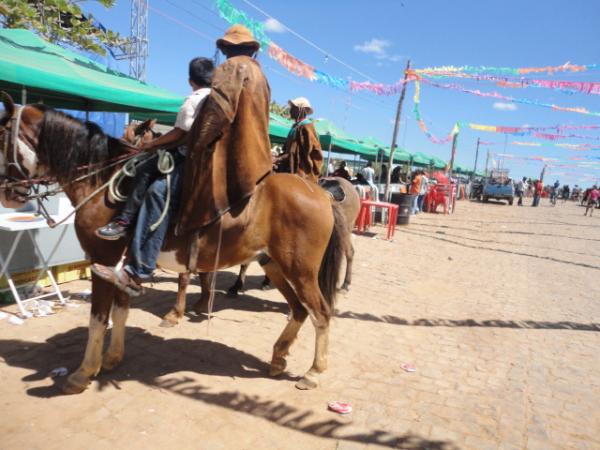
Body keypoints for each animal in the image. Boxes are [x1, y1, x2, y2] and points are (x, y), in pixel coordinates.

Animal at [1, 96, 346, 394]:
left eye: (2, 136)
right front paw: (112, 358)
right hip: (274, 265)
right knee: (299, 310)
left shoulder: (102, 261)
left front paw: (83, 373)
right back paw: (278, 357)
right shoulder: (121, 267)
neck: (104, 183)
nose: (8, 193)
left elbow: (97, 320)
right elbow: (121, 312)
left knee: (321, 312)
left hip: (300, 271)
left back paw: (313, 372)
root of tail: (320, 193)